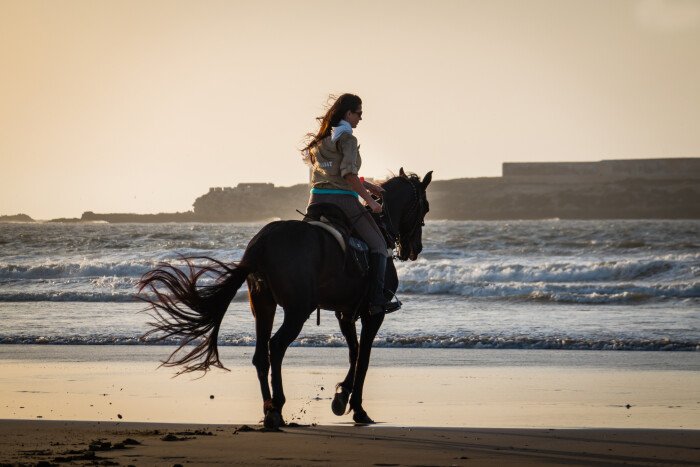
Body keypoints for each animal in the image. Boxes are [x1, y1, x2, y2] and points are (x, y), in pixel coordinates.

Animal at [137, 170, 432, 430]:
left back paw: (269, 409)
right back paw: (277, 406)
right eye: (425, 208)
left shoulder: (345, 313)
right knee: (276, 346)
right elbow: (364, 358)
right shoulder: (374, 314)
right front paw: (357, 408)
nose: (415, 249)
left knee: (261, 355)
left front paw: (341, 397)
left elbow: (355, 351)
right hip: (297, 310)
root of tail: (263, 241)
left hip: (263, 305)